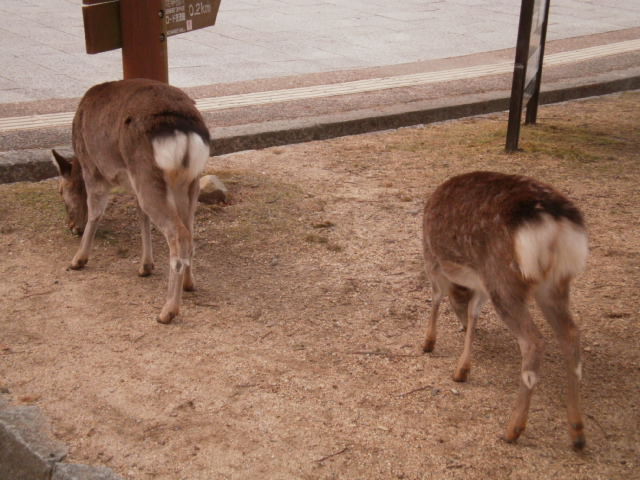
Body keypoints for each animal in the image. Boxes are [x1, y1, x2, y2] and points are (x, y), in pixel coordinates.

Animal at [51, 79, 210, 324]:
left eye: (61, 191)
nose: (71, 226)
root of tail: (183, 131)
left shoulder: (94, 168)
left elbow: (96, 211)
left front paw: (78, 259)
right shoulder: (135, 187)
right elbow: (141, 217)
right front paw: (145, 266)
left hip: (148, 175)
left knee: (179, 235)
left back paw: (168, 311)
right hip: (190, 182)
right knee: (189, 231)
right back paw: (188, 283)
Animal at [422, 171, 588, 448]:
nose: (459, 326)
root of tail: (555, 223)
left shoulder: (433, 260)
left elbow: (436, 297)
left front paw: (428, 344)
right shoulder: (481, 283)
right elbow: (474, 312)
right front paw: (462, 370)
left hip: (504, 279)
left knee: (533, 341)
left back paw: (513, 429)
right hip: (555, 283)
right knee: (571, 335)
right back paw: (577, 431)